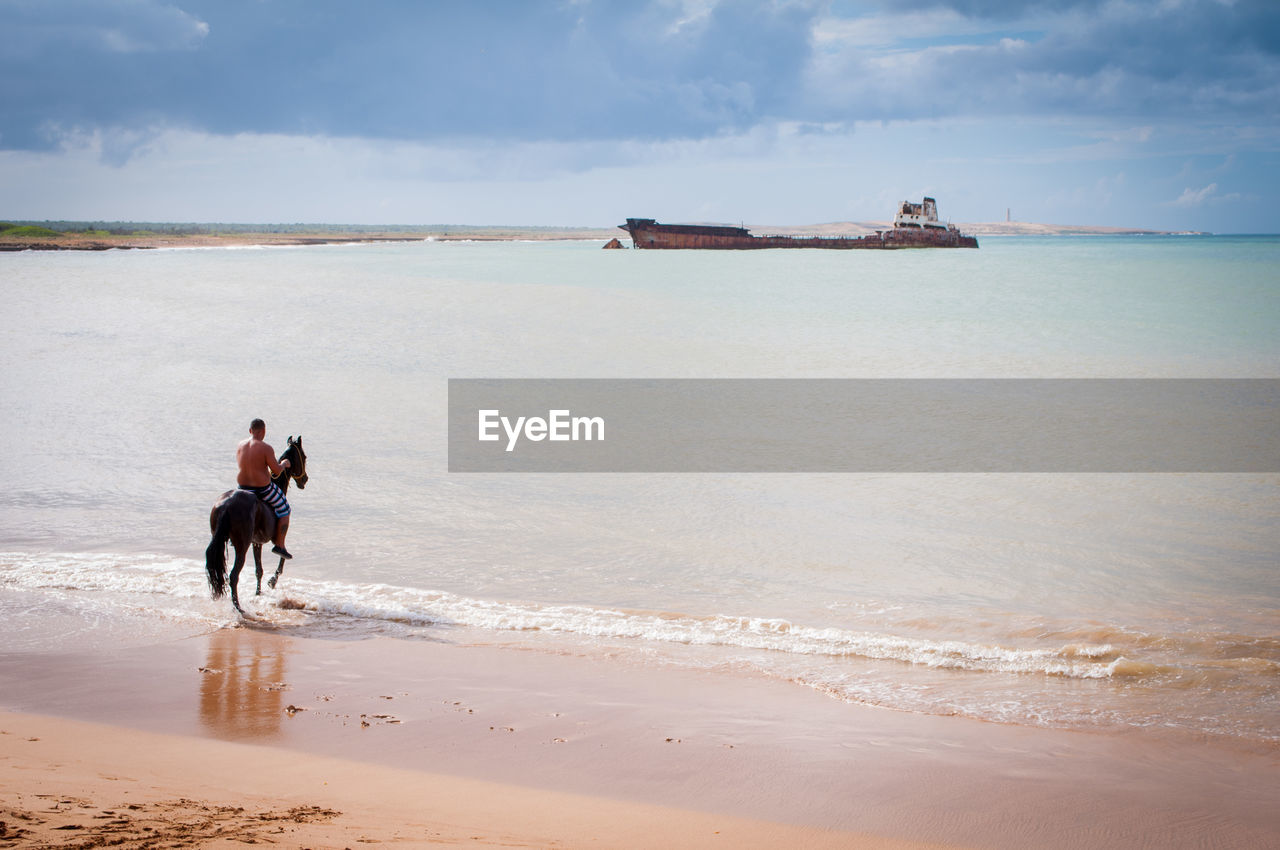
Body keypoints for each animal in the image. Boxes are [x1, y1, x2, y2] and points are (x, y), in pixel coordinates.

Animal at [209, 437, 312, 611]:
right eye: (304, 457)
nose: (305, 479)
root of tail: (227, 505)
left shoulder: (256, 542)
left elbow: (259, 570)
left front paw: (258, 593)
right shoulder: (272, 540)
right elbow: (282, 555)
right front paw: (272, 581)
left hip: (221, 540)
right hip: (241, 546)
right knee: (234, 576)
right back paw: (239, 608)